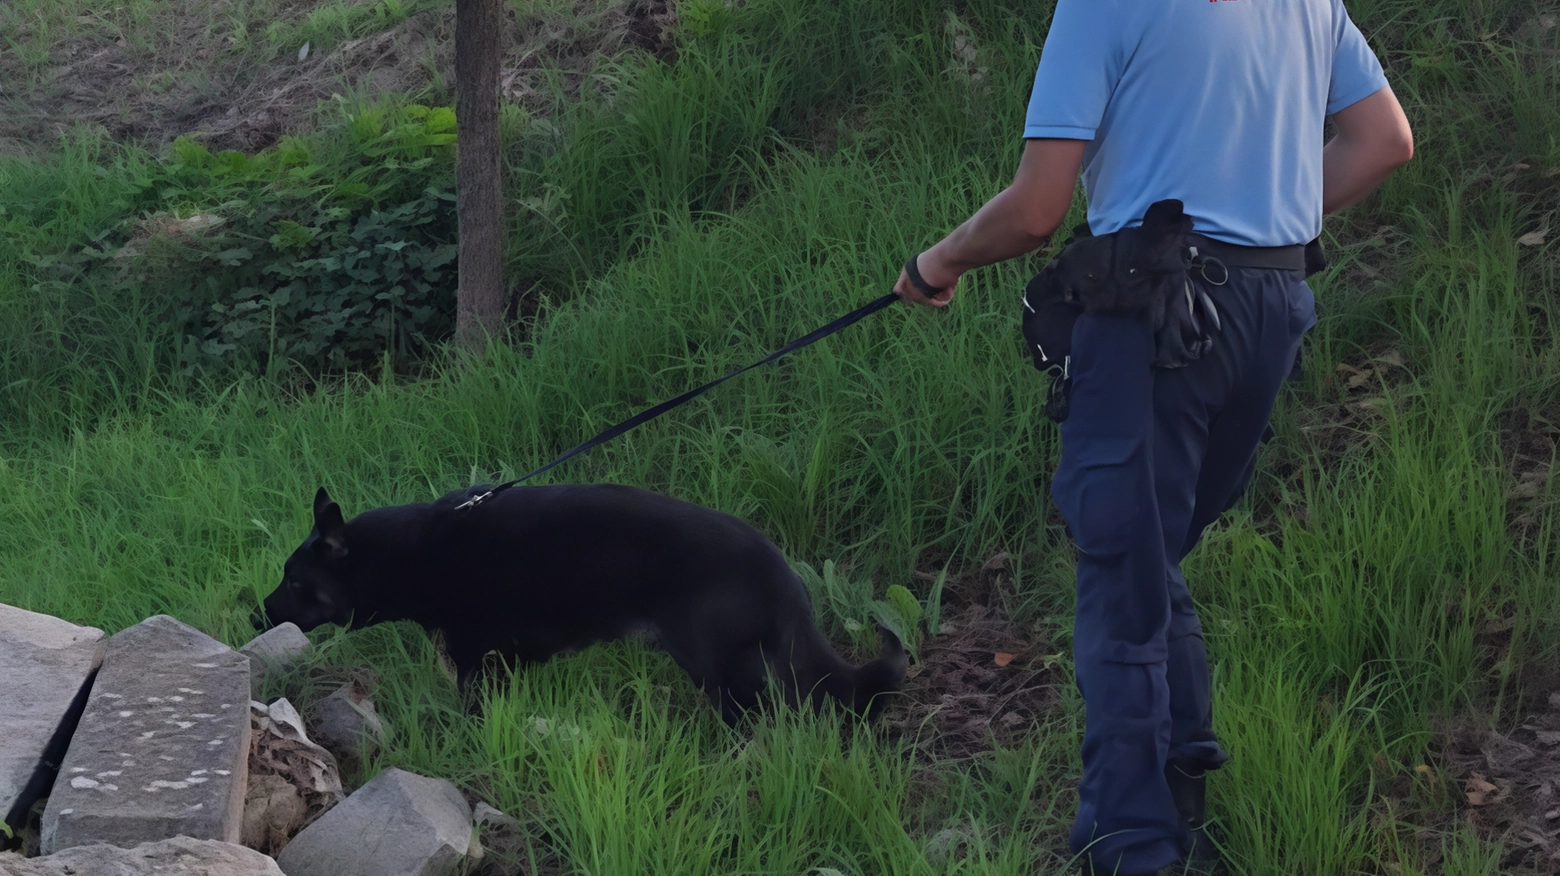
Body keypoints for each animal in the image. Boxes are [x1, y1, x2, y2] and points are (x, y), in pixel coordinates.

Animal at [257, 480, 911, 720]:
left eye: (293, 582)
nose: (254, 612)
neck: (412, 552)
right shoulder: (505, 660)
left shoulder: (474, 659)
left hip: (718, 666)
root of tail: (781, 573)